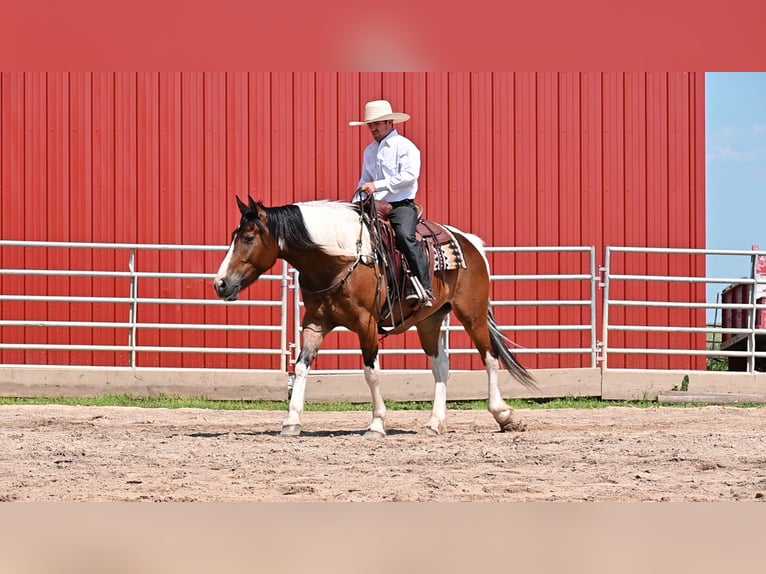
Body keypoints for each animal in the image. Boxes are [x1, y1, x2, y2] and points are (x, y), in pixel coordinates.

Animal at [213, 196, 540, 438]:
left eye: (249, 237)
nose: (221, 284)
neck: (338, 260)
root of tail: (470, 243)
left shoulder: (366, 324)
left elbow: (371, 372)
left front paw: (377, 424)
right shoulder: (315, 323)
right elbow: (302, 367)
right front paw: (292, 421)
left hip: (472, 314)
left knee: (489, 358)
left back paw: (503, 414)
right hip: (430, 320)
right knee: (441, 366)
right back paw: (435, 423)